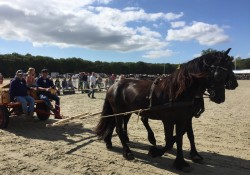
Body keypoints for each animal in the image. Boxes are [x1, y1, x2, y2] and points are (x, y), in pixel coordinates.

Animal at [95, 48, 232, 172]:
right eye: (219, 74)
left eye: (229, 71)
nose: (221, 98)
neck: (178, 91)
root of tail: (113, 85)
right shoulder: (168, 121)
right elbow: (170, 141)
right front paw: (155, 152)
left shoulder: (182, 119)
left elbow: (180, 139)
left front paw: (180, 162)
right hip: (119, 111)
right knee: (119, 129)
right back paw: (127, 151)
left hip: (124, 111)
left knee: (114, 125)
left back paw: (110, 141)